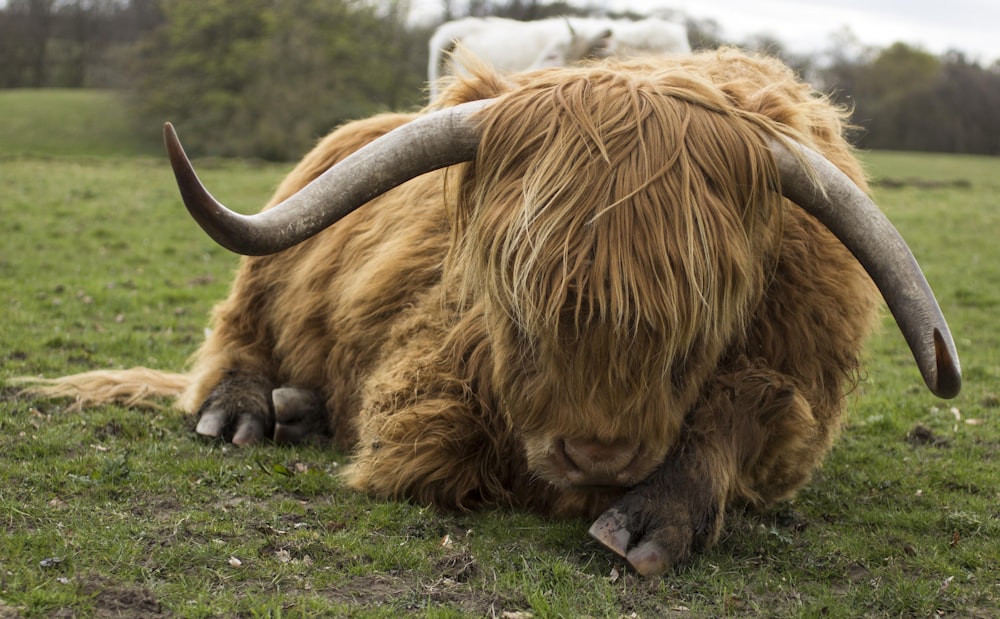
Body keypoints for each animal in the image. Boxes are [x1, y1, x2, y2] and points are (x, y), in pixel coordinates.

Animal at [27, 50, 956, 580]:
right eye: (521, 308)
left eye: (695, 334)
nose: (598, 451)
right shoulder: (427, 375)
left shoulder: (796, 392)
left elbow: (746, 407)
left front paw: (648, 521)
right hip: (268, 266)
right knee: (235, 336)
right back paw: (249, 412)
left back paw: (299, 408)